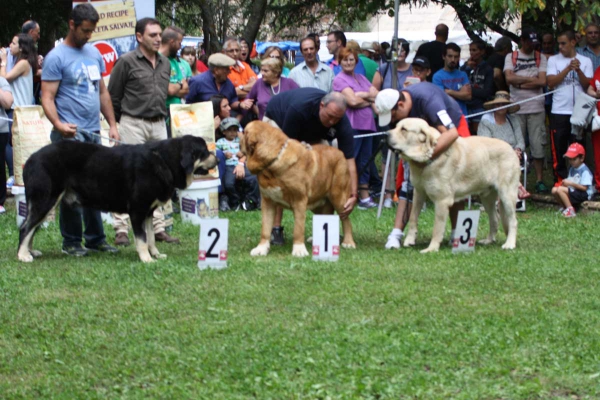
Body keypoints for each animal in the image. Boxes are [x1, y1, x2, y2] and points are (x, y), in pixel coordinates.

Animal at [16, 136, 218, 262]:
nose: (217, 158)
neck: (165, 161)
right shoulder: (137, 210)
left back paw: (30, 251)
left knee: (31, 227)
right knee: (26, 227)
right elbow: (142, 239)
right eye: (205, 152)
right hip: (46, 200)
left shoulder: (148, 213)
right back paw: (23, 255)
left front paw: (155, 254)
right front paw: (146, 258)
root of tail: (31, 159)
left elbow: (151, 237)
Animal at [240, 120, 356, 256]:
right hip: (318, 203)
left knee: (346, 220)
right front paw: (261, 249)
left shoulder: (300, 201)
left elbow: (298, 228)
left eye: (244, 132)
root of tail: (340, 153)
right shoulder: (267, 202)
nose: (239, 140)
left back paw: (348, 242)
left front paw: (299, 250)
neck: (273, 161)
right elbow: (265, 228)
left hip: (338, 197)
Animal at [390, 117, 520, 252]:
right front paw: (410, 240)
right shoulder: (418, 193)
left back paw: (509, 244)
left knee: (513, 221)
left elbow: (437, 228)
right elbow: (412, 217)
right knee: (494, 218)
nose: (385, 135)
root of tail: (511, 149)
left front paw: (431, 248)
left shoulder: (442, 201)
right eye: (396, 126)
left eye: (403, 129)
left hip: (507, 194)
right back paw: (488, 240)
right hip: (487, 197)